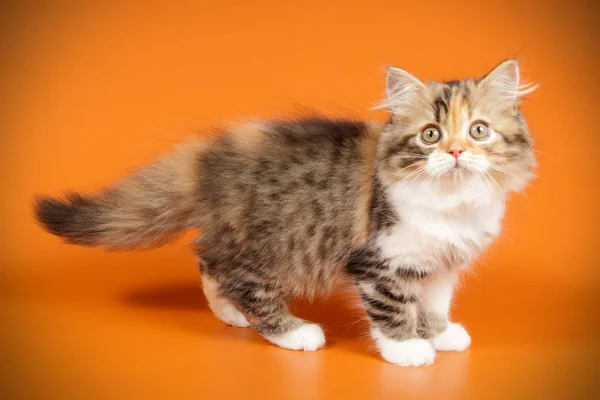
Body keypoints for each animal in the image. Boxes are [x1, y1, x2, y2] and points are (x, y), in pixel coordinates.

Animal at [35, 58, 536, 366]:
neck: (452, 203)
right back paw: (293, 332)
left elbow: (432, 305)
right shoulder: (380, 261)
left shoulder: (439, 264)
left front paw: (438, 333)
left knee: (208, 261)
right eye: (431, 134)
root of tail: (210, 159)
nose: (455, 152)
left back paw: (230, 313)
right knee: (242, 281)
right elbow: (393, 308)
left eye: (478, 130)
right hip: (271, 246)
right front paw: (407, 348)